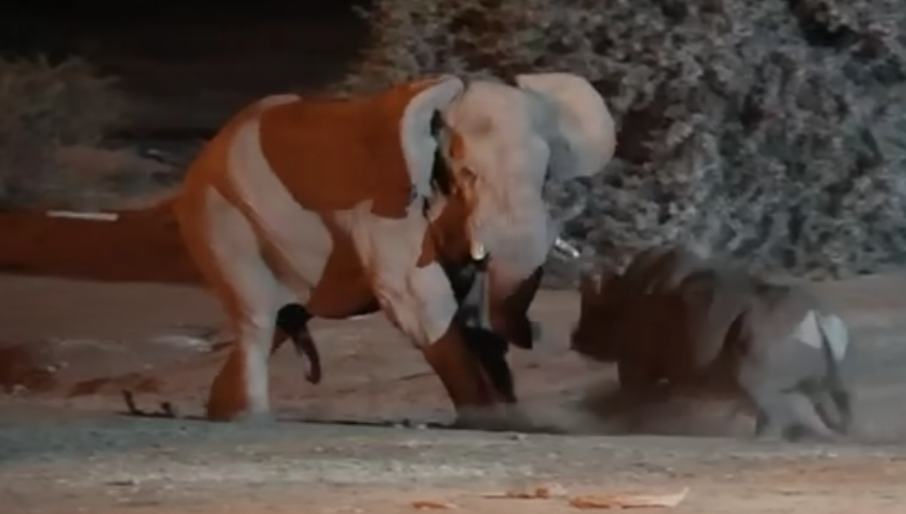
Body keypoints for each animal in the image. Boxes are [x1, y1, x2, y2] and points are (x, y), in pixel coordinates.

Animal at [173, 71, 616, 424]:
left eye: (545, 174)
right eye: (468, 173)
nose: (542, 332)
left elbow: (467, 302)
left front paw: (508, 415)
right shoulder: (388, 203)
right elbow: (421, 300)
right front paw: (486, 419)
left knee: (286, 316)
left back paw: (223, 412)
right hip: (220, 216)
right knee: (258, 316)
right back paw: (251, 419)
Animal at [572, 246, 856, 438]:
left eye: (600, 313)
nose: (576, 340)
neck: (622, 294)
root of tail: (819, 317)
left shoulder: (637, 360)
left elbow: (634, 397)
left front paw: (629, 426)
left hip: (763, 339)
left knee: (767, 397)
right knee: (820, 396)